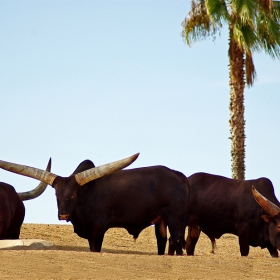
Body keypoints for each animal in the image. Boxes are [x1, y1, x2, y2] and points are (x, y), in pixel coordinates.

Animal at [0, 154, 189, 255]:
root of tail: (179, 176)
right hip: (161, 221)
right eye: (56, 194)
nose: (63, 215)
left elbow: (95, 249)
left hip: (175, 220)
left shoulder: (98, 229)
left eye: (73, 194)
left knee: (177, 241)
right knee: (164, 241)